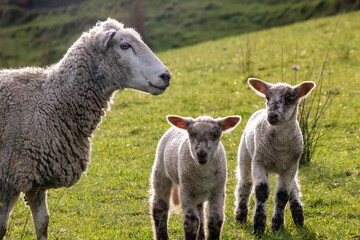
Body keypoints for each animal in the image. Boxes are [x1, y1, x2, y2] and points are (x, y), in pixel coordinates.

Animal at [0, 17, 172, 239]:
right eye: (124, 46)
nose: (166, 76)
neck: (51, 103)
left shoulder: (35, 179)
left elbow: (42, 223)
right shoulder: (9, 180)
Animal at [233, 78, 316, 236]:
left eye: (289, 99)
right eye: (267, 98)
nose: (271, 116)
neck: (279, 148)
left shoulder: (291, 166)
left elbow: (283, 195)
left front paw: (277, 226)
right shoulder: (259, 162)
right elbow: (261, 191)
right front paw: (259, 226)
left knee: (293, 187)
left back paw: (298, 217)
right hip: (245, 155)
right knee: (245, 185)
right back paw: (240, 216)